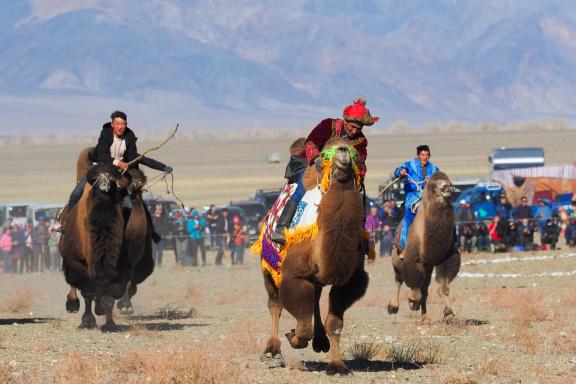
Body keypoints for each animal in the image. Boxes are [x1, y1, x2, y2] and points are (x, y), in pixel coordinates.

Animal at [260, 138, 368, 376]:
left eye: (356, 154)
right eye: (325, 155)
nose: (343, 151)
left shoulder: (350, 281)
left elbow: (334, 324)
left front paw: (338, 366)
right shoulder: (294, 275)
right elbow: (302, 321)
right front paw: (294, 337)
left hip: (316, 278)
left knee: (316, 298)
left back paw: (320, 342)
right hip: (268, 268)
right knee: (275, 303)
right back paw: (272, 349)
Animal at [384, 172, 462, 320]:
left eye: (449, 183)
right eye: (436, 185)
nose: (449, 187)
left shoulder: (444, 259)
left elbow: (443, 286)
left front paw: (449, 312)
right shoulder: (412, 259)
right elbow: (414, 286)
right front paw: (412, 302)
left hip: (427, 266)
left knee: (424, 289)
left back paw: (424, 317)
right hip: (396, 257)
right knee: (399, 280)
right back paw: (393, 307)